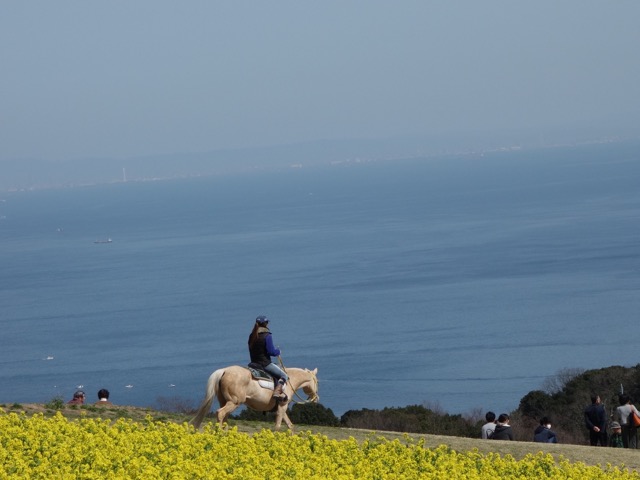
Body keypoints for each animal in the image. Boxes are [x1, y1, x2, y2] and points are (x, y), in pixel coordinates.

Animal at [190, 368, 320, 432]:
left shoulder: (282, 407)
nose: (316, 398)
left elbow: (290, 425)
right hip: (234, 402)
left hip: (225, 401)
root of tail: (224, 371)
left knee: (224, 417)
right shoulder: (283, 406)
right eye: (316, 381)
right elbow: (278, 426)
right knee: (220, 413)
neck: (289, 381)